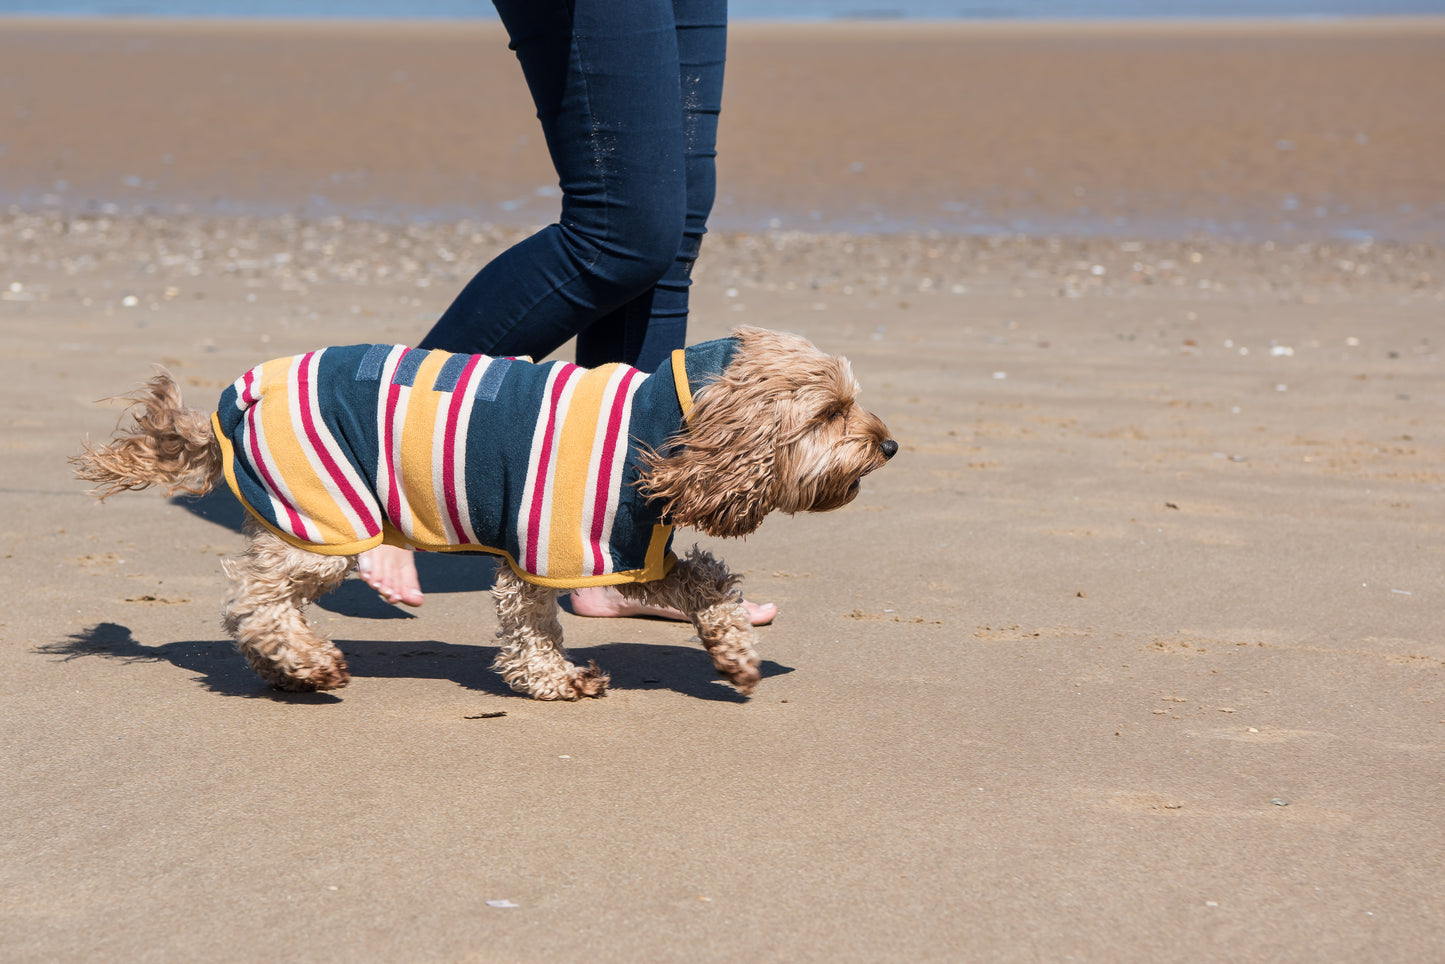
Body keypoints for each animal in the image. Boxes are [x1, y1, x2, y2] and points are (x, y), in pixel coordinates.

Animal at [79, 328, 895, 696]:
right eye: (830, 412)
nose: (889, 444)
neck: (666, 431)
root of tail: (235, 396)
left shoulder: (626, 548)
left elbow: (710, 587)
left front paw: (734, 654)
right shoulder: (553, 545)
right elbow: (533, 627)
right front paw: (557, 680)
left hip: (299, 521)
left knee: (254, 598)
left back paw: (284, 667)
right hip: (327, 519)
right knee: (254, 599)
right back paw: (308, 661)